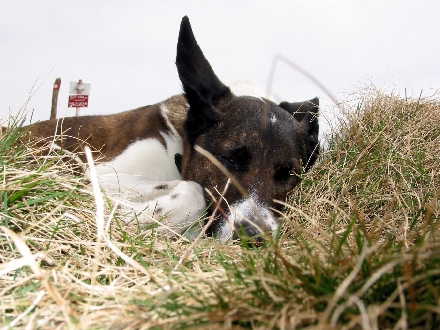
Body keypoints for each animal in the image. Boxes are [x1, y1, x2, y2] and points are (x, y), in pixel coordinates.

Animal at [7, 16, 320, 242]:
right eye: (230, 158)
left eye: (288, 174)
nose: (254, 238)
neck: (178, 151)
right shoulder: (102, 172)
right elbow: (192, 192)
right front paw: (126, 214)